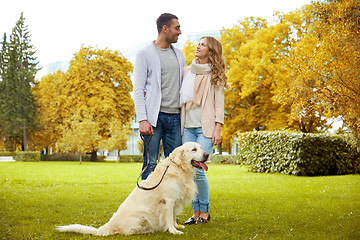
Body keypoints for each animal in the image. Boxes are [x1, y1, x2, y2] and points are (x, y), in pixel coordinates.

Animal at [56, 142, 208, 235]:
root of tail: (106, 226)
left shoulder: (175, 201)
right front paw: (173, 231)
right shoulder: (168, 201)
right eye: (194, 149)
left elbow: (173, 216)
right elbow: (169, 218)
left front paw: (176, 227)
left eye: (201, 147)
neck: (179, 168)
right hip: (141, 217)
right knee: (128, 231)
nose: (206, 154)